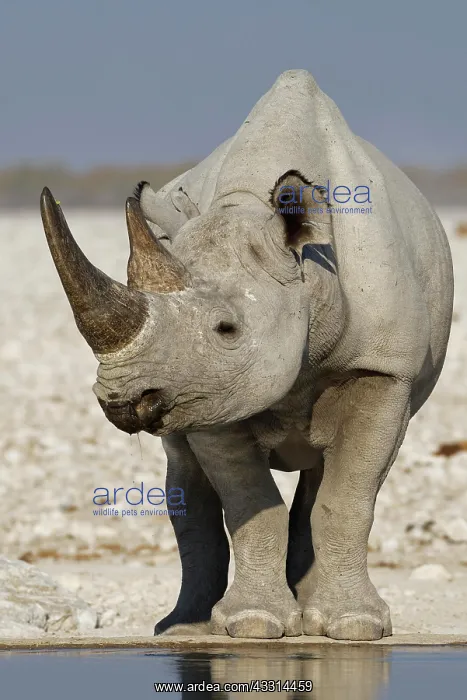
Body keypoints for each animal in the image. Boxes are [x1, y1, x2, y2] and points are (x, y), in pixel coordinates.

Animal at [40, 70, 453, 641]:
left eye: (227, 328)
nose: (121, 399)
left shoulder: (383, 370)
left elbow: (347, 501)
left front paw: (355, 626)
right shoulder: (208, 390)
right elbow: (251, 504)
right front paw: (253, 624)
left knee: (321, 480)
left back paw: (310, 616)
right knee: (185, 479)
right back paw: (184, 628)